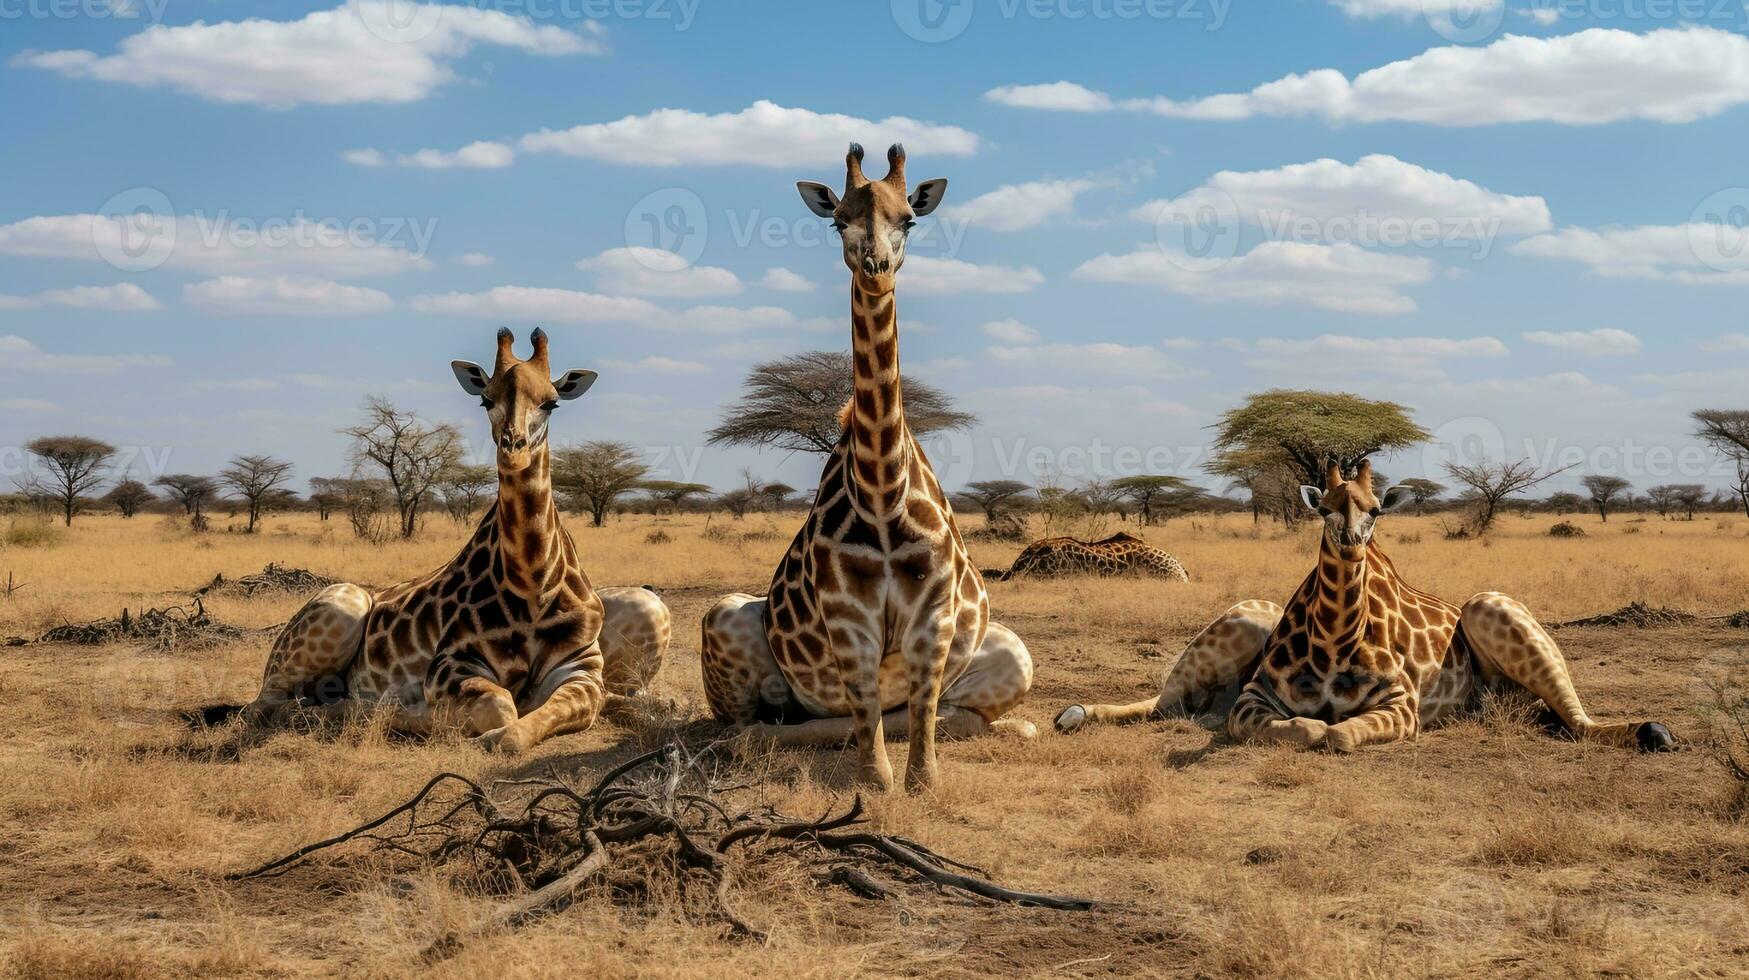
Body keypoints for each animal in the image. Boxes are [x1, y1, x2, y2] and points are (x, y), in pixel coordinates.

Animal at [232, 330, 668, 759]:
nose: (513, 449)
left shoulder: (582, 670)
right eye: (486, 399)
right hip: (344, 605)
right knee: (261, 706)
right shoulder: (450, 663)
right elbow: (498, 706)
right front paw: (435, 717)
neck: (534, 582)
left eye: (551, 403)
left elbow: (556, 713)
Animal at [696, 141, 1028, 791]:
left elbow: (922, 705)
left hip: (1010, 650)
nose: (875, 268)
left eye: (910, 219)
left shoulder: (934, 612)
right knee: (748, 725)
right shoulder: (849, 618)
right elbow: (866, 705)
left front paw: (923, 781)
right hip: (723, 618)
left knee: (956, 710)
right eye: (837, 221)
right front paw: (878, 779)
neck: (882, 491)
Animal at [1049, 462, 1679, 752]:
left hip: (1489, 605)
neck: (1333, 638)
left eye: (1376, 508)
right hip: (1251, 616)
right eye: (1324, 504)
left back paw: (1655, 731)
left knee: (1578, 719)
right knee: (1167, 703)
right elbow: (1303, 726)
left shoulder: (1403, 706)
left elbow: (1341, 733)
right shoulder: (1251, 698)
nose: (1353, 540)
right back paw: (1075, 713)